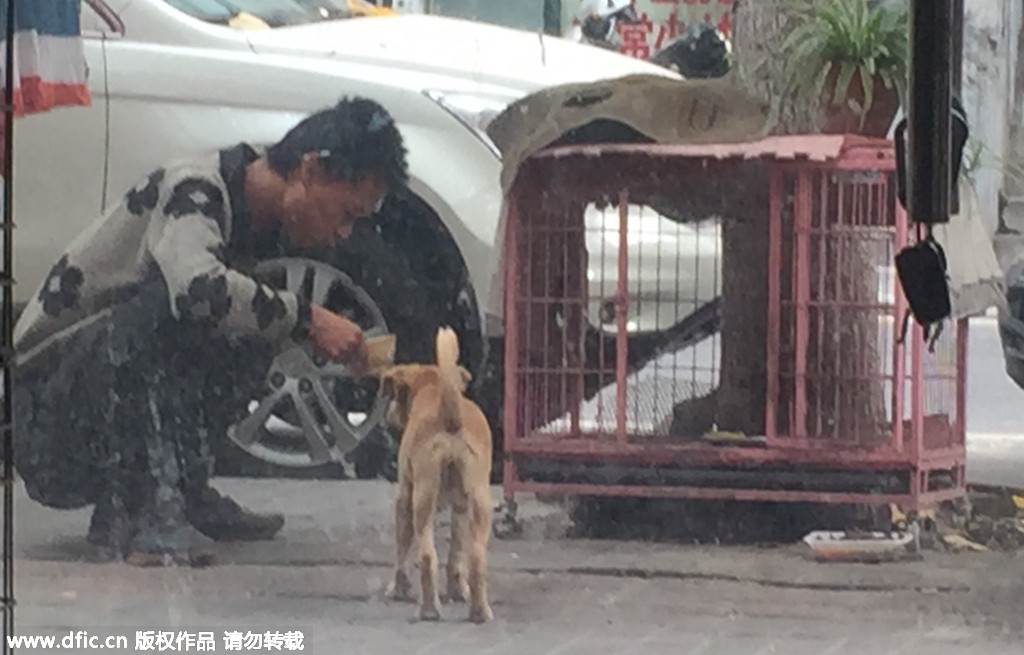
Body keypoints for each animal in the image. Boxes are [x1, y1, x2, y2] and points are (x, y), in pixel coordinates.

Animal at [385, 327, 495, 622]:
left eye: (396, 395)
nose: (388, 416)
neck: (432, 390)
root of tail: (450, 419)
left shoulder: (404, 496)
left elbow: (401, 549)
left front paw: (397, 588)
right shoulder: (460, 507)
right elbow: (456, 556)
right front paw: (458, 590)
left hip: (422, 496)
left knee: (425, 556)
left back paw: (429, 610)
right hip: (479, 500)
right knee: (476, 557)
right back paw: (479, 611)